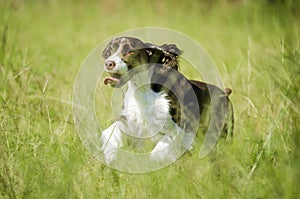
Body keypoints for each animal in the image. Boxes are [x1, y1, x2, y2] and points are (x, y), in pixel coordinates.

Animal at [99, 36, 233, 163]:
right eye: (109, 50)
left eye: (130, 51)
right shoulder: (132, 120)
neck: (145, 89)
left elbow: (158, 152)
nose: (109, 63)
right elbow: (112, 131)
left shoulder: (181, 127)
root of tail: (224, 93)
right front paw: (110, 155)